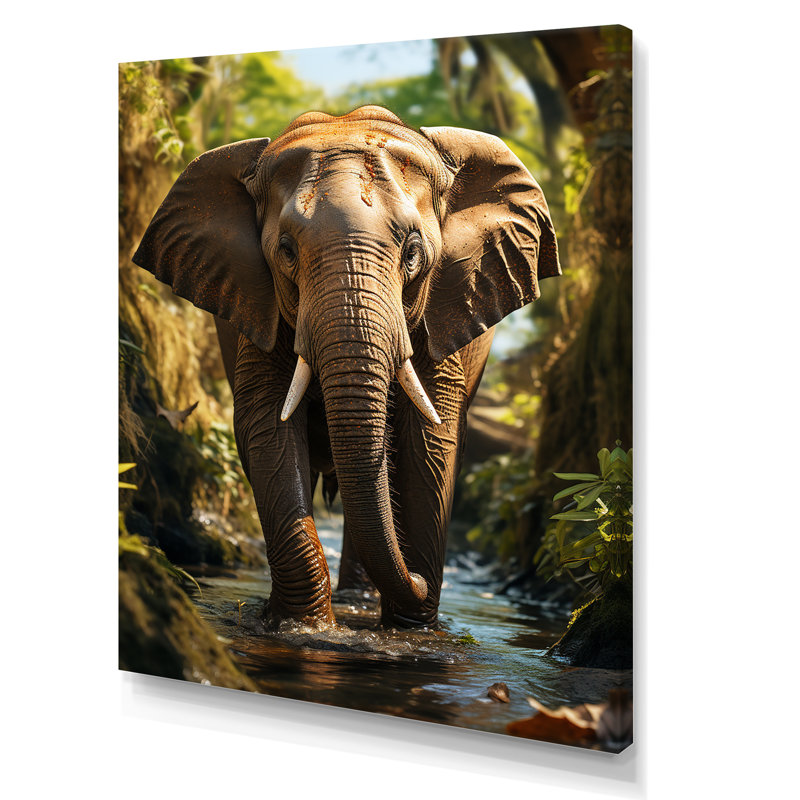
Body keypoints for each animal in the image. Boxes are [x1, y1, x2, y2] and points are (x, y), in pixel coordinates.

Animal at [133, 105, 560, 628]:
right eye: (286, 251)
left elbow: (431, 440)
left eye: (413, 253)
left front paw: (411, 629)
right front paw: (301, 626)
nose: (419, 579)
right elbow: (267, 425)